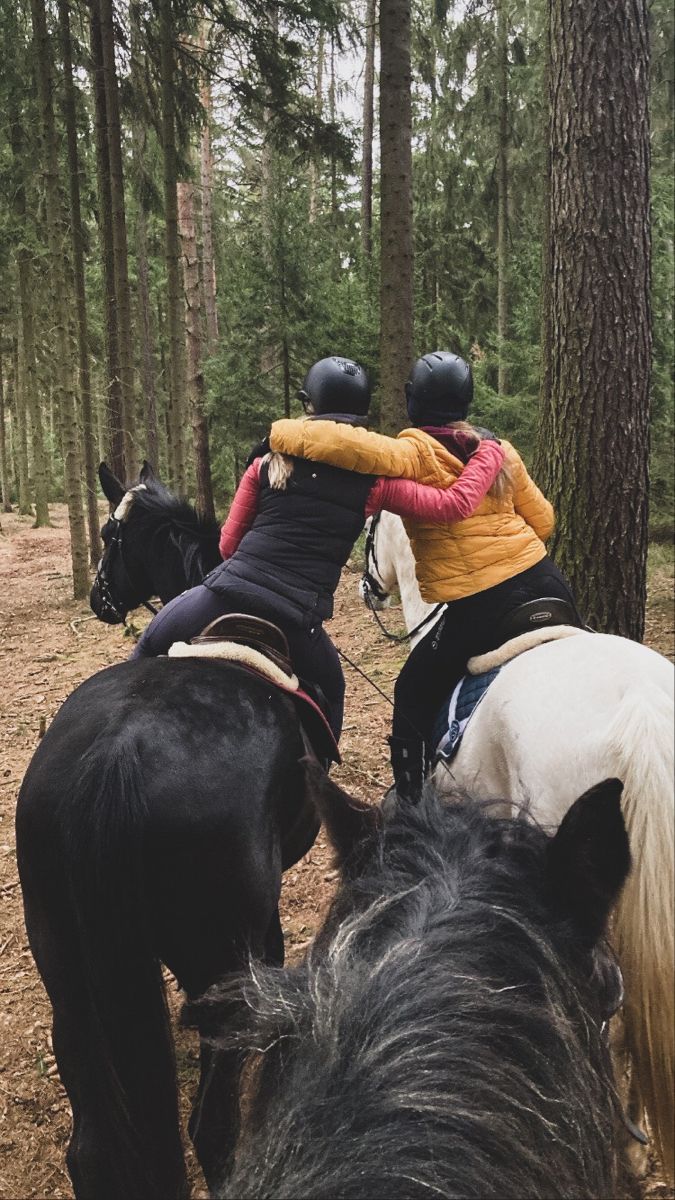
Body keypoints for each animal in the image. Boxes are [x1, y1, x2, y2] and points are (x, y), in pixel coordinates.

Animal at [15, 463, 319, 1195]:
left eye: (108, 534)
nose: (99, 599)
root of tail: (116, 761)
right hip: (224, 961)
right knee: (211, 1133)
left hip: (64, 969)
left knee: (91, 1149)